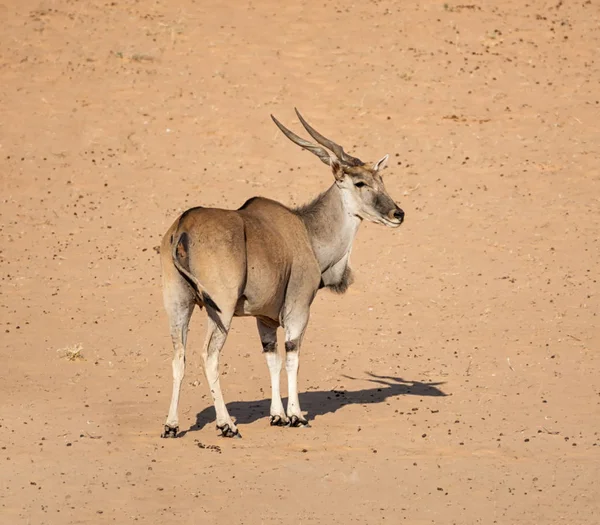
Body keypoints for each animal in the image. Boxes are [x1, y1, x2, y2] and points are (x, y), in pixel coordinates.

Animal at [159, 108, 406, 436]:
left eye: (381, 179)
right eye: (360, 183)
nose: (397, 214)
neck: (307, 231)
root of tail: (184, 227)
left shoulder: (264, 318)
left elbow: (272, 359)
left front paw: (276, 415)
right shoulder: (298, 309)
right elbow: (292, 357)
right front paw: (296, 415)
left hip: (178, 305)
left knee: (178, 356)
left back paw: (172, 424)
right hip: (220, 308)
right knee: (209, 356)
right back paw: (226, 424)